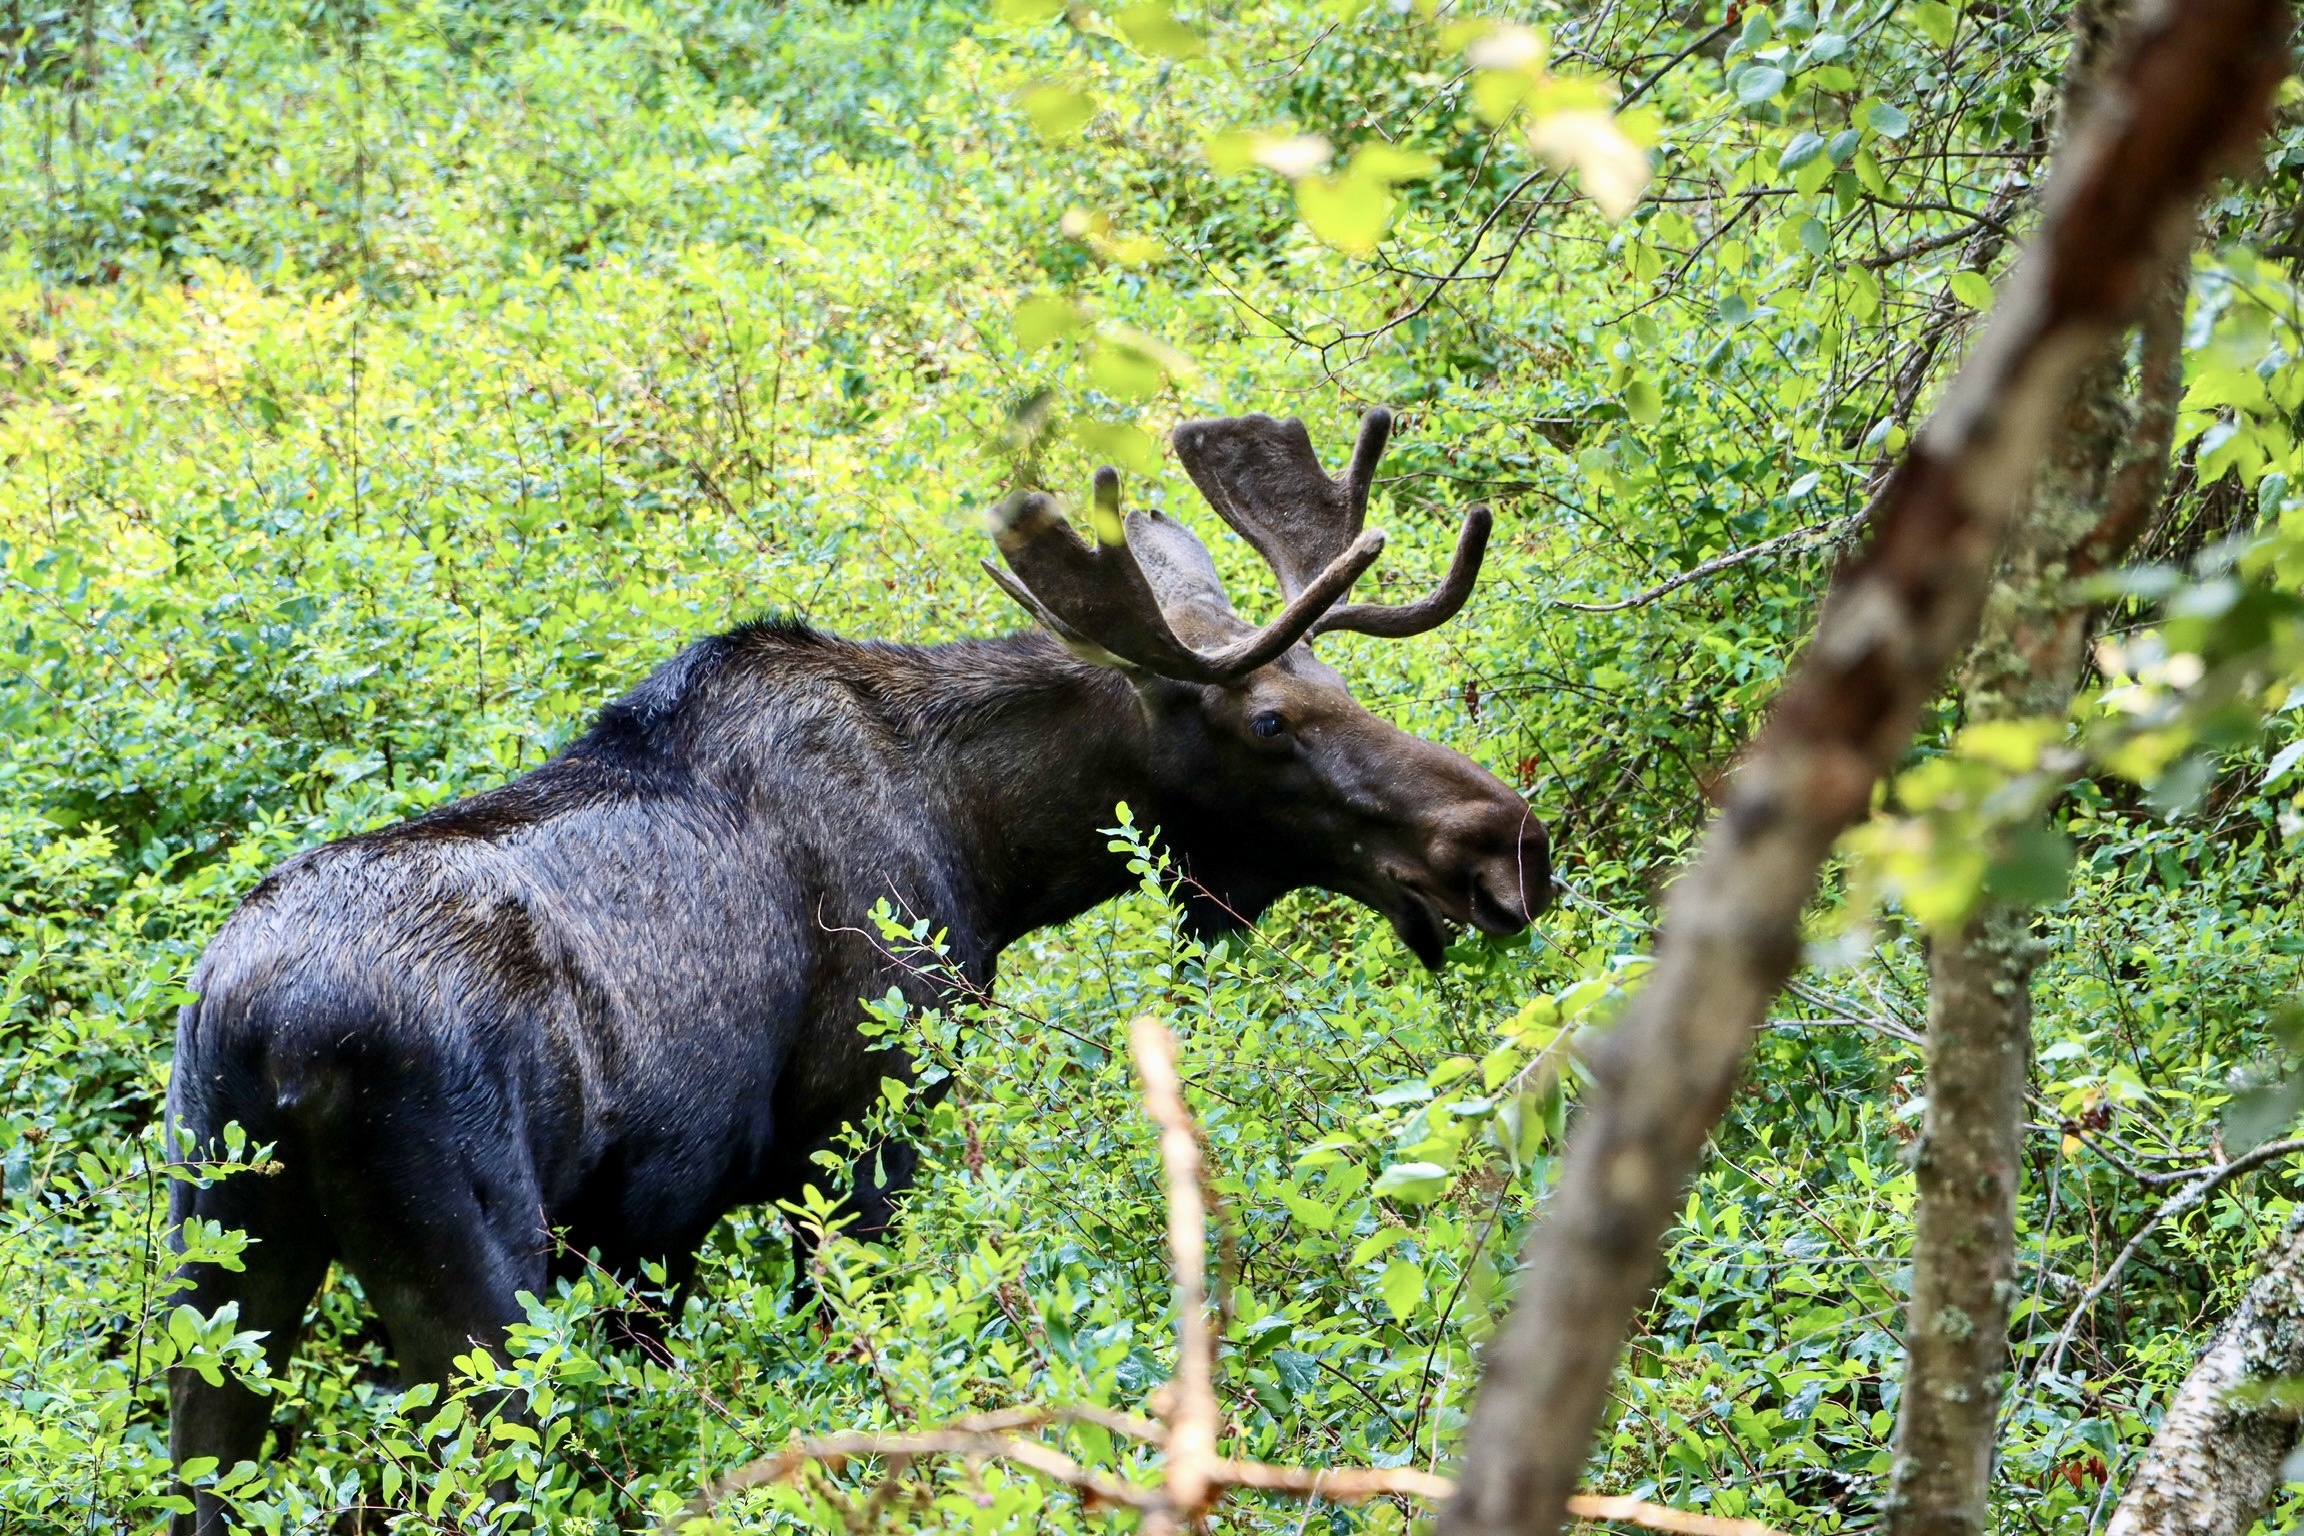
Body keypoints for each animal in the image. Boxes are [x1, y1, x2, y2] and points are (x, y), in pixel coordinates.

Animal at [164, 409, 1550, 1534]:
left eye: (1336, 679)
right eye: (1271, 718)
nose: (1509, 845)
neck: (993, 852)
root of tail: (262, 1035)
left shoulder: (652, 1229)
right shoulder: (858, 1136)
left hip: (219, 1256)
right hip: (478, 1284)